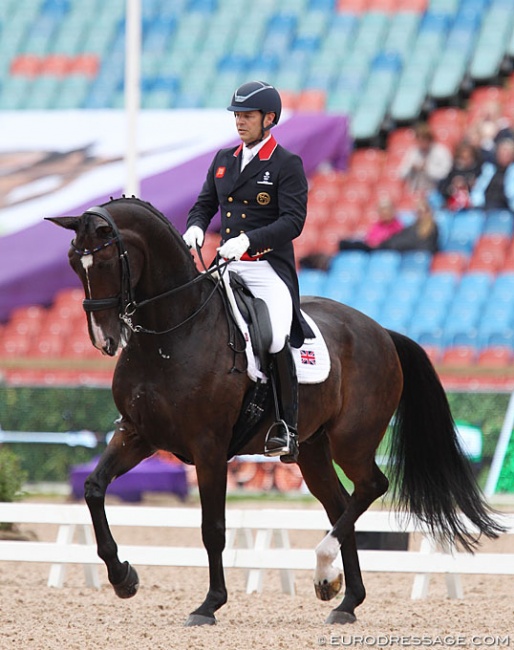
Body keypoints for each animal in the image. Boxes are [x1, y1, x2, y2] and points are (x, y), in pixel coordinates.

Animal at [46, 196, 502, 624]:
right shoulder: (137, 433)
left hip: (352, 441)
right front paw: (123, 577)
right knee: (340, 504)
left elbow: (212, 528)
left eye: (106, 258)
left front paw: (210, 604)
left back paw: (324, 569)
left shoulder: (209, 447)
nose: (104, 339)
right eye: (72, 261)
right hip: (313, 449)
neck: (171, 335)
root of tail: (381, 331)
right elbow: (94, 489)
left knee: (371, 486)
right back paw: (345, 598)